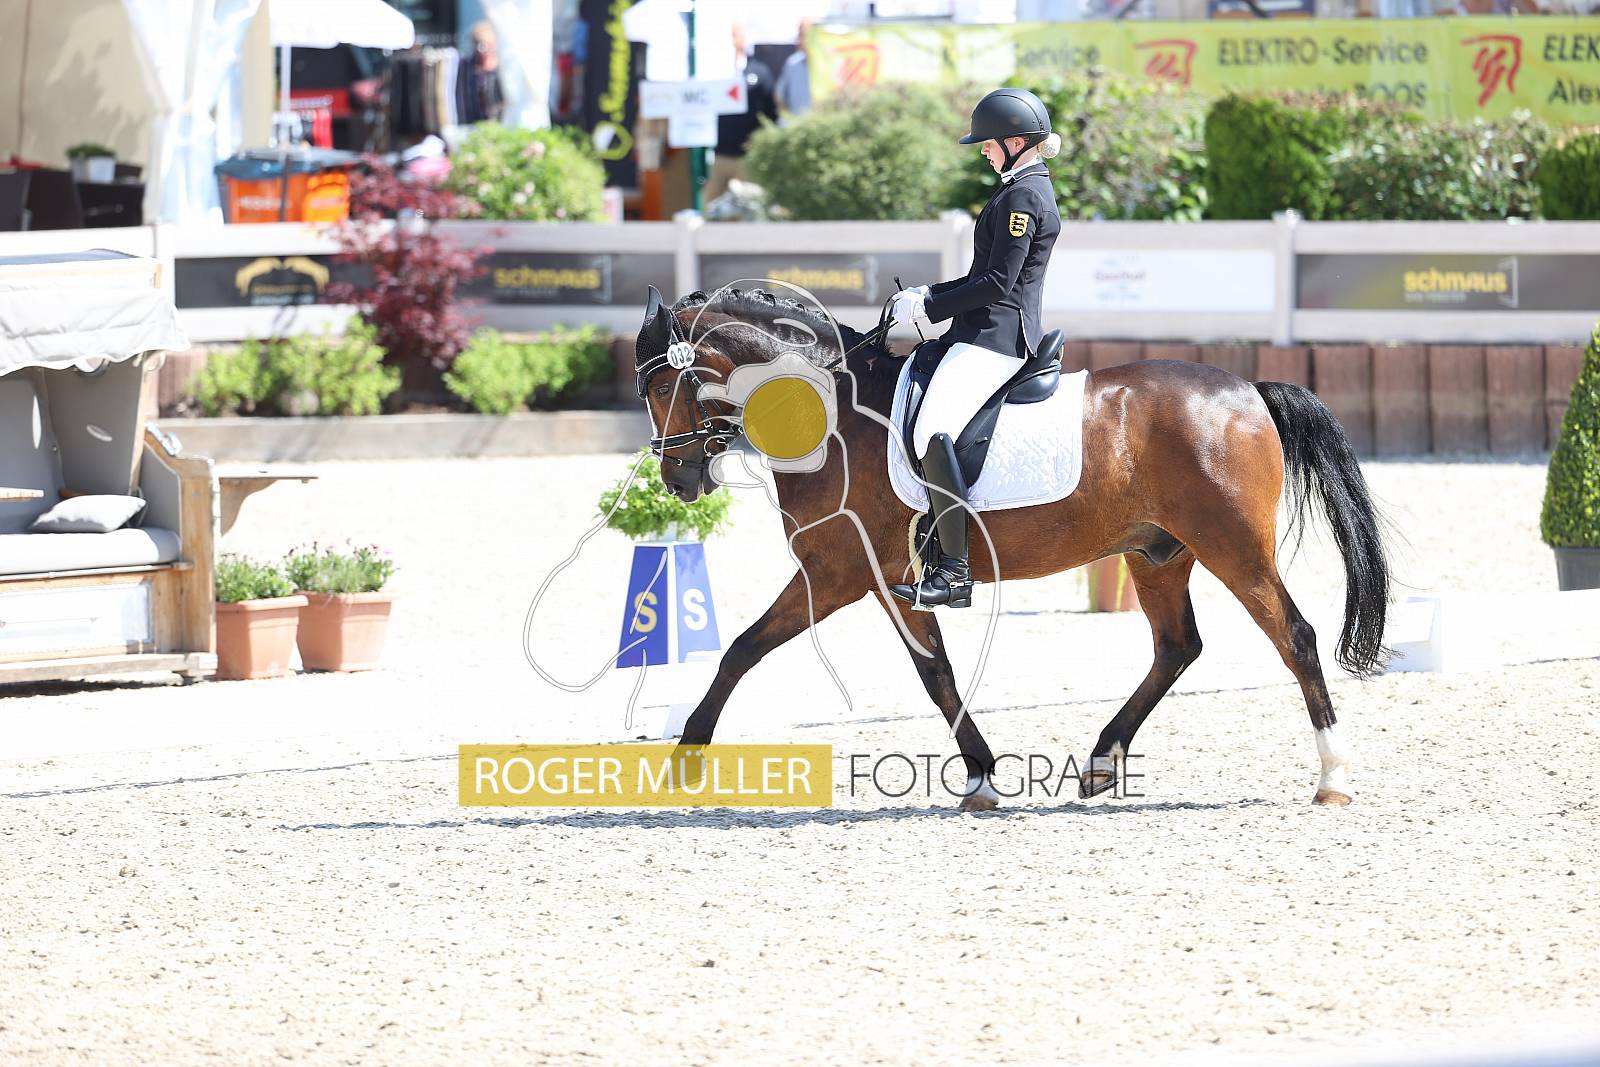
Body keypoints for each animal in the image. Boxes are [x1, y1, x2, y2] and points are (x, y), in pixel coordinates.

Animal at [632, 285, 1389, 811]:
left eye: (667, 384)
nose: (678, 480)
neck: (833, 414)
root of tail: (1249, 393)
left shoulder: (837, 570)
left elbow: (741, 649)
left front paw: (687, 755)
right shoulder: (887, 579)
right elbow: (937, 676)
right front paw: (981, 775)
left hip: (1232, 546)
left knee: (1294, 636)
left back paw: (1333, 777)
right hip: (1158, 555)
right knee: (1177, 647)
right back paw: (1103, 760)